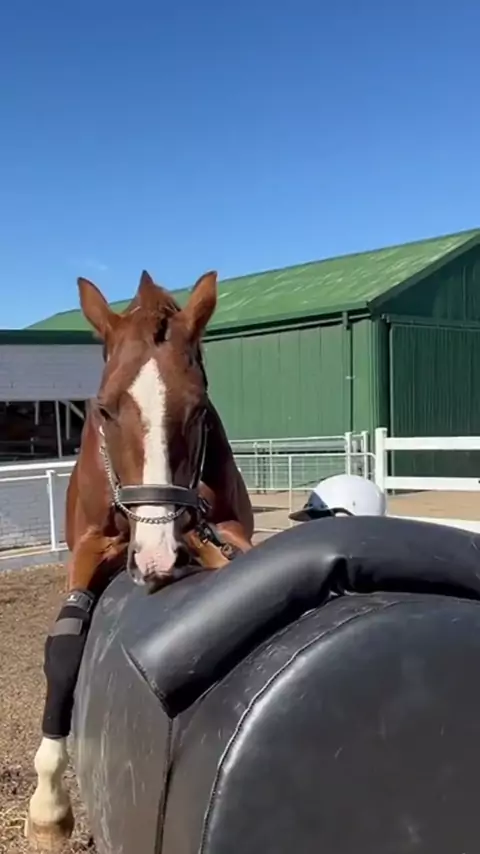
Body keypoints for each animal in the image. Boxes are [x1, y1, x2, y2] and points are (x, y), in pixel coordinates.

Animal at [25, 269, 254, 851]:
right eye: (104, 409)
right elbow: (63, 647)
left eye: (198, 409)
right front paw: (49, 807)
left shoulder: (229, 532)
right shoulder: (89, 547)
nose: (156, 556)